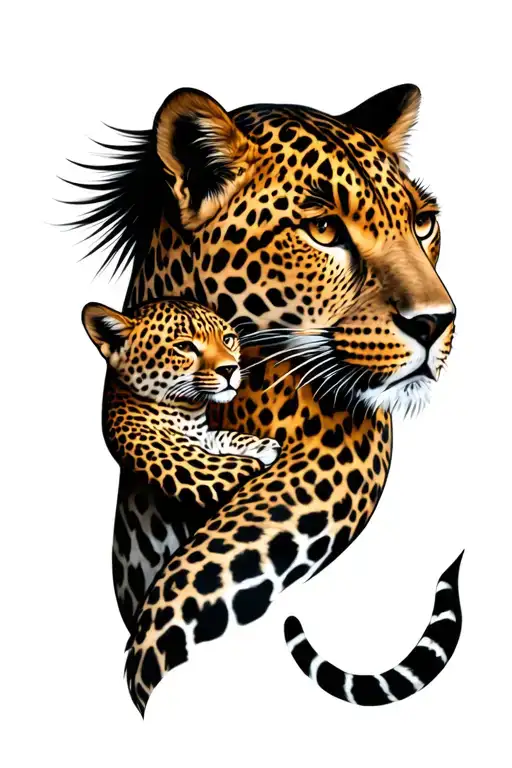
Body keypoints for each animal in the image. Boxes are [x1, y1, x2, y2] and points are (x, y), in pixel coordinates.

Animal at [82, 298, 279, 629]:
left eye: (228, 339)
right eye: (185, 346)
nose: (231, 368)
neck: (186, 412)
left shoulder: (203, 436)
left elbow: (221, 437)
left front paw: (263, 446)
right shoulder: (204, 476)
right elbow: (241, 465)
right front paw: (261, 455)